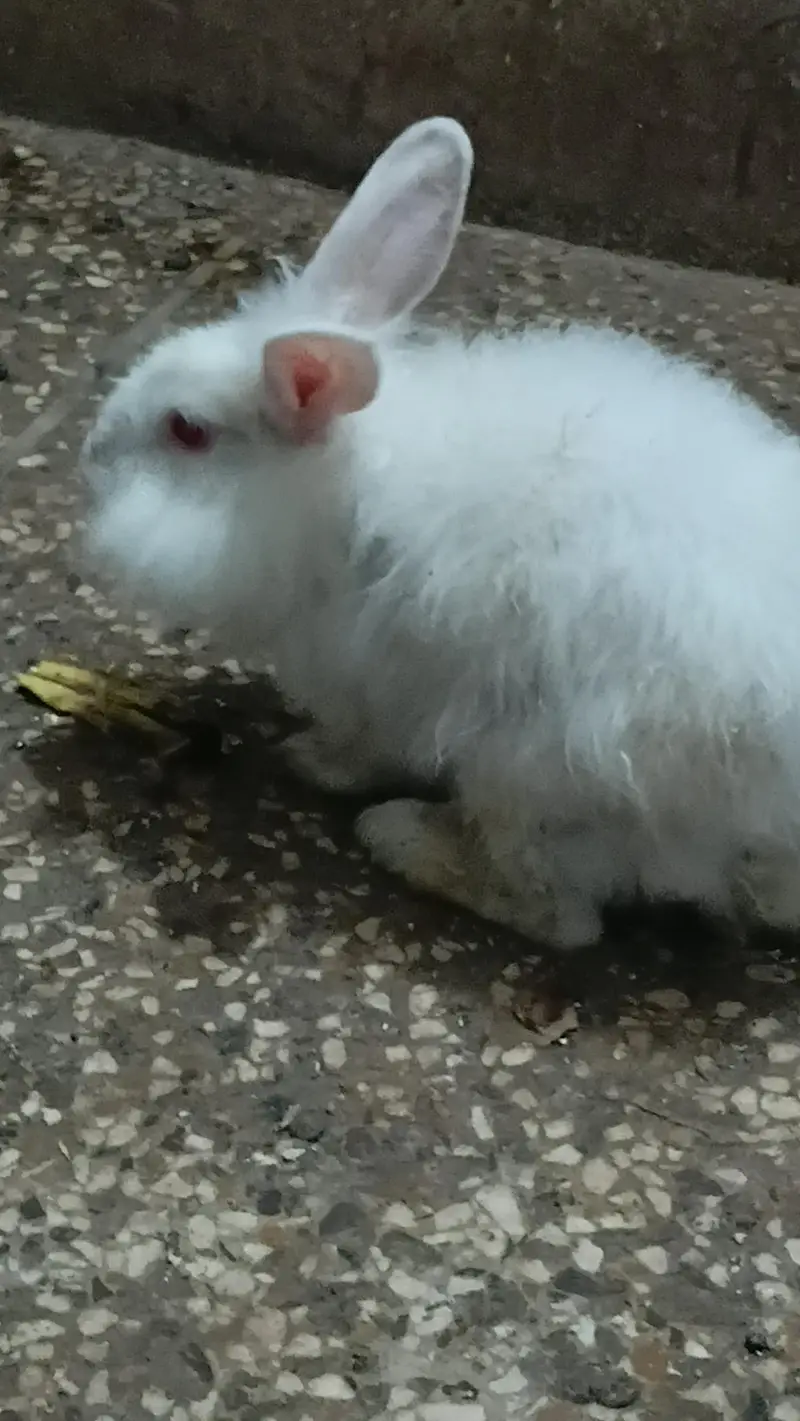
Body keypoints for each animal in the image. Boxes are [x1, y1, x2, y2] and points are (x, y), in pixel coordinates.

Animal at [81, 115, 800, 949]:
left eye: (187, 431)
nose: (90, 453)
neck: (330, 489)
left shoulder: (368, 674)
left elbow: (364, 742)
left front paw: (313, 760)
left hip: (539, 773)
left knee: (563, 916)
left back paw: (400, 837)